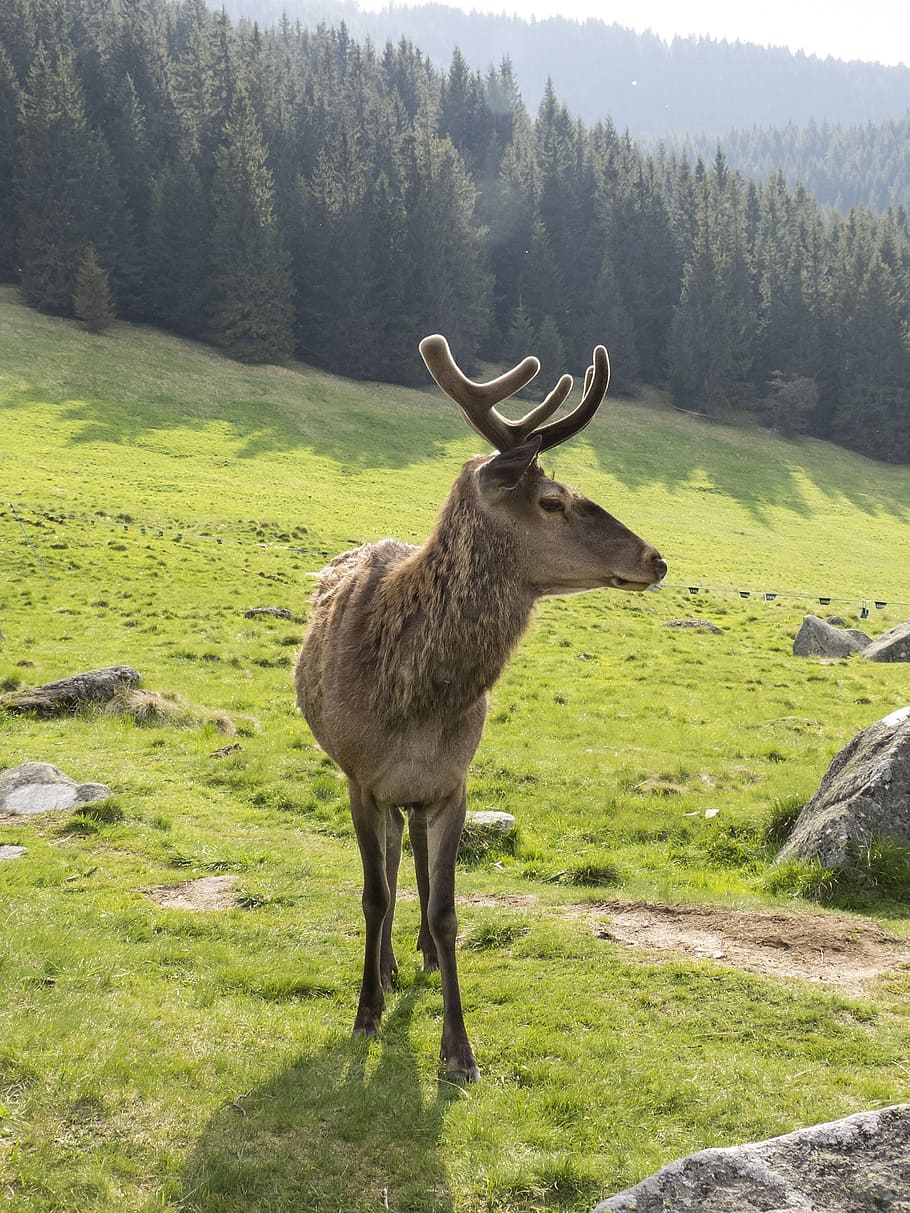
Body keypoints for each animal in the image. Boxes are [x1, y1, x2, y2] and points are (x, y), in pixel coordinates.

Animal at [295, 334, 666, 1082]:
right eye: (552, 501)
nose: (656, 558)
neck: (411, 700)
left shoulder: (452, 783)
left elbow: (445, 908)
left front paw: (458, 1050)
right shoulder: (359, 778)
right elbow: (373, 892)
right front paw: (365, 1012)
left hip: (418, 795)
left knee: (409, 854)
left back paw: (421, 960)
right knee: (387, 866)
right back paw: (385, 967)